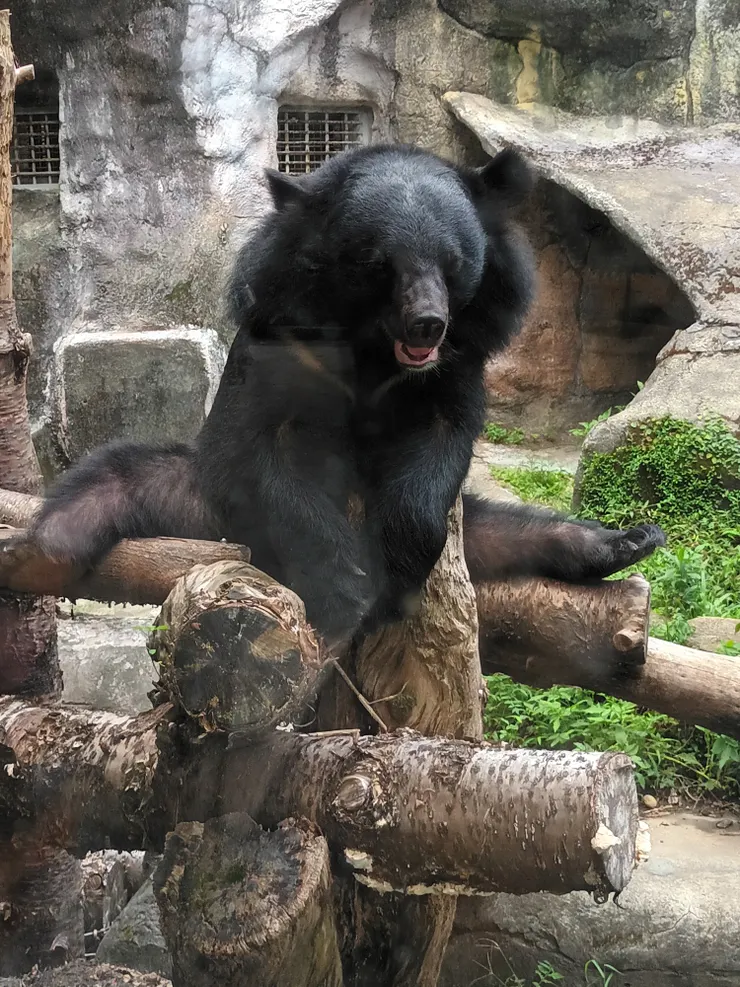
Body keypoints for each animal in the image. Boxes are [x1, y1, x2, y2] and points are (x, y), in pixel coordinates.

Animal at [26, 143, 665, 648]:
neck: (374, 350)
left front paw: (396, 567)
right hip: (209, 503)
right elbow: (266, 449)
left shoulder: (459, 363)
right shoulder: (283, 338)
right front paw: (347, 585)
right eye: (379, 265)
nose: (427, 326)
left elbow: (442, 442)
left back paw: (626, 539)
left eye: (455, 262)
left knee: (501, 531)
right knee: (119, 479)